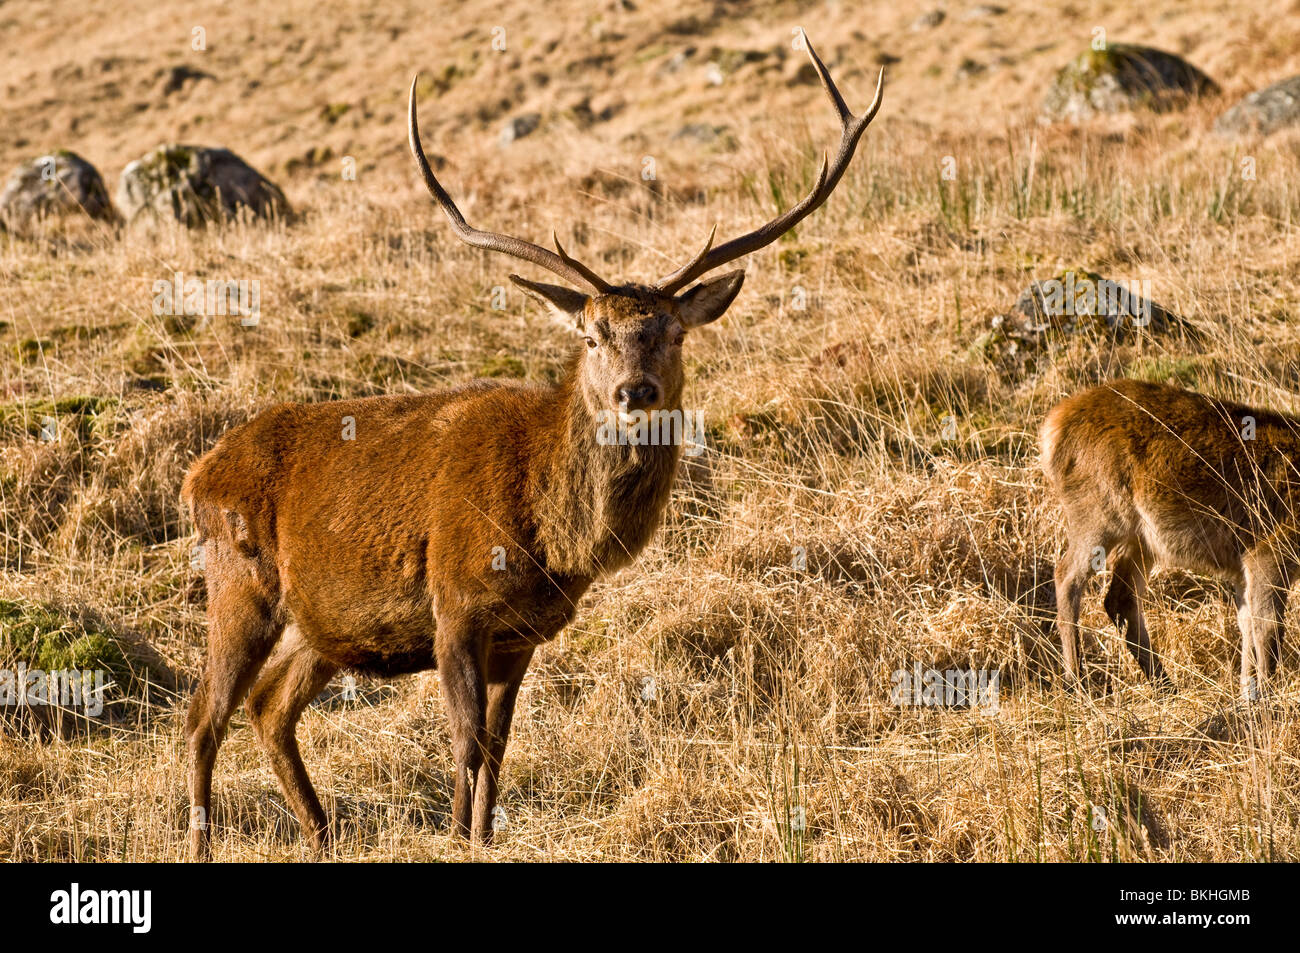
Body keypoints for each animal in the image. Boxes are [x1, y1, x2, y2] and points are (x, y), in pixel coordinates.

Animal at [180, 35, 884, 859]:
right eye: (591, 334)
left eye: (673, 333)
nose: (634, 392)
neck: (554, 538)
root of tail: (197, 473)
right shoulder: (455, 605)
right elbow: (463, 740)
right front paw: (456, 837)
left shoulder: (522, 636)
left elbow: (498, 745)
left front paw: (481, 834)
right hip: (238, 581)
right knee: (203, 715)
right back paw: (202, 840)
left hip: (321, 624)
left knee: (268, 706)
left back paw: (321, 834)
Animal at [1041, 378, 1300, 700]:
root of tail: (1052, 427)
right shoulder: (1269, 550)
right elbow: (1268, 628)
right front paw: (1265, 699)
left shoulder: (1244, 566)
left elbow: (1248, 624)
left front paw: (1247, 695)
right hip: (1097, 515)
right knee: (1067, 577)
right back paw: (1076, 681)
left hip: (1142, 540)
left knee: (1119, 598)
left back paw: (1164, 685)